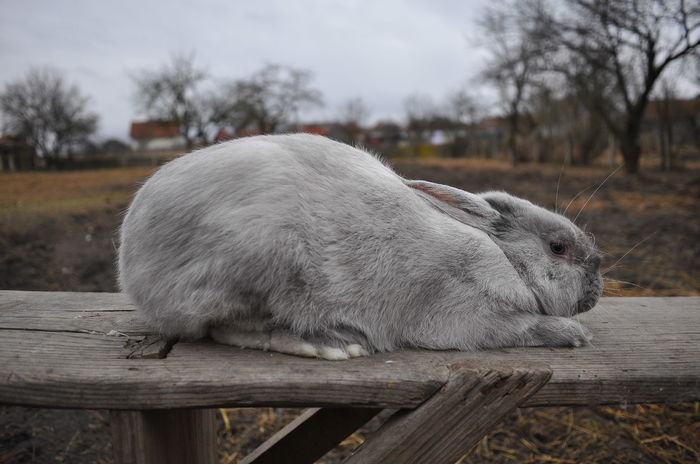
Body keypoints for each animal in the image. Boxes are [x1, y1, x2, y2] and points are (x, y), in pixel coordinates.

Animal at [120, 133, 600, 358]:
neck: (504, 260)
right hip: (255, 264)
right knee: (228, 328)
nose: (597, 275)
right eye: (558, 248)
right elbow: (521, 328)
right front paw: (573, 335)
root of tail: (131, 267)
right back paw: (328, 344)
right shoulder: (466, 316)